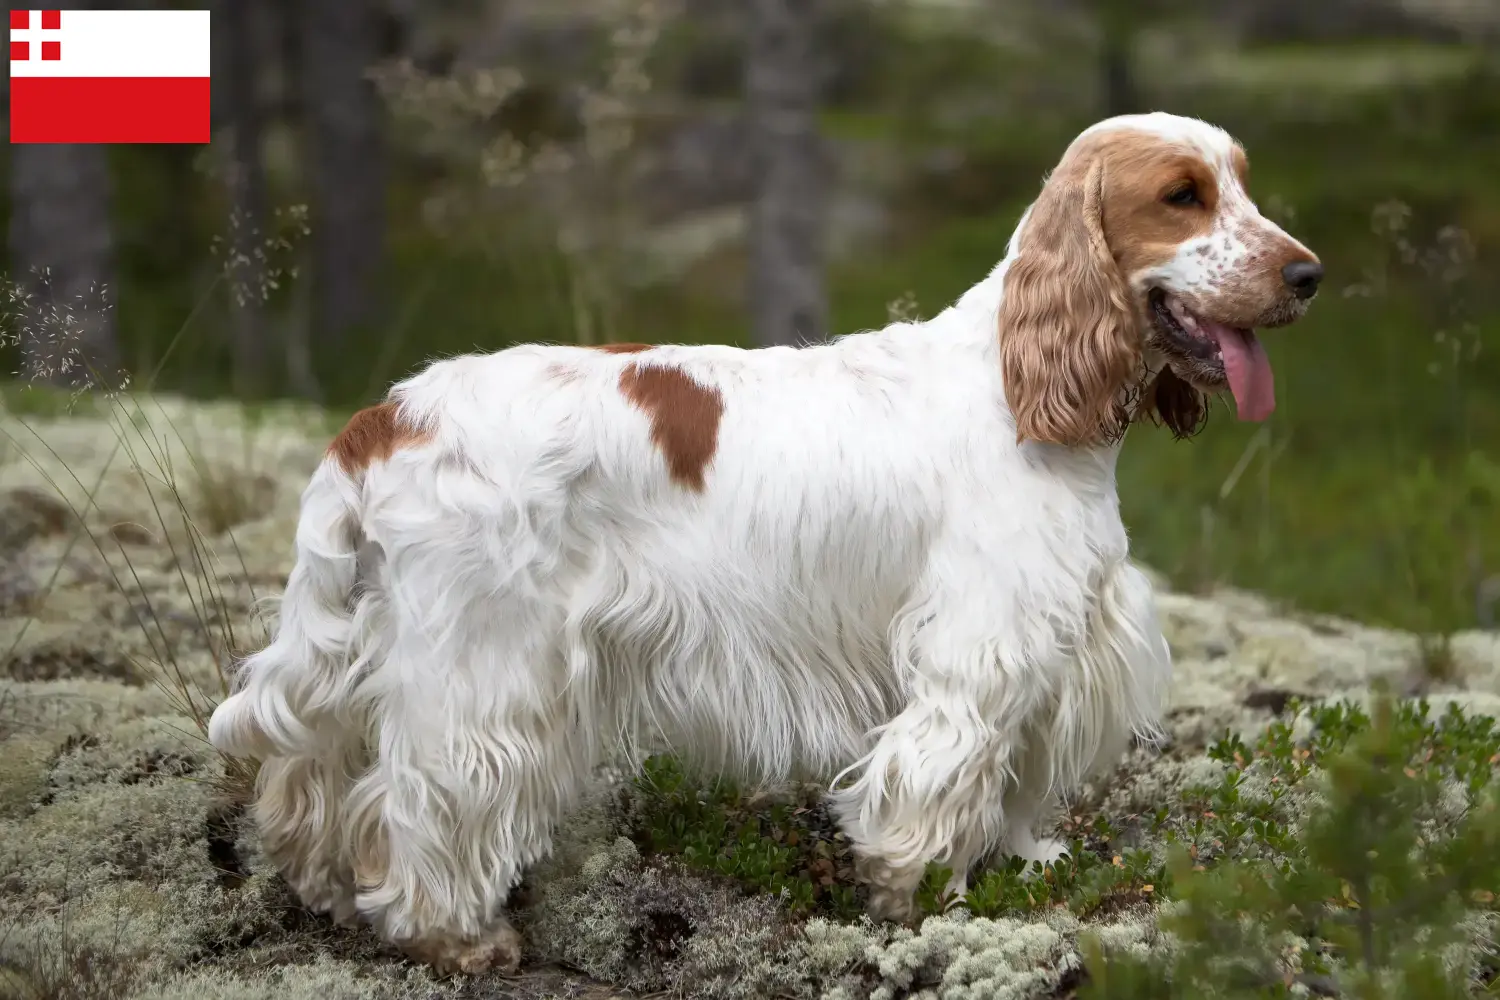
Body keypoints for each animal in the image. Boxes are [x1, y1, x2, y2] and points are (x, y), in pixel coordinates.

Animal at [211, 111, 1326, 977]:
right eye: (1182, 196)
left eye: (1241, 183)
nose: (1308, 273)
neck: (1021, 384)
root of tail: (387, 415)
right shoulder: (981, 646)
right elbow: (942, 779)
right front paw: (923, 899)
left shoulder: (1048, 643)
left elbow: (1010, 784)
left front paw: (1019, 863)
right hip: (484, 664)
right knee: (428, 798)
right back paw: (454, 936)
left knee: (310, 776)